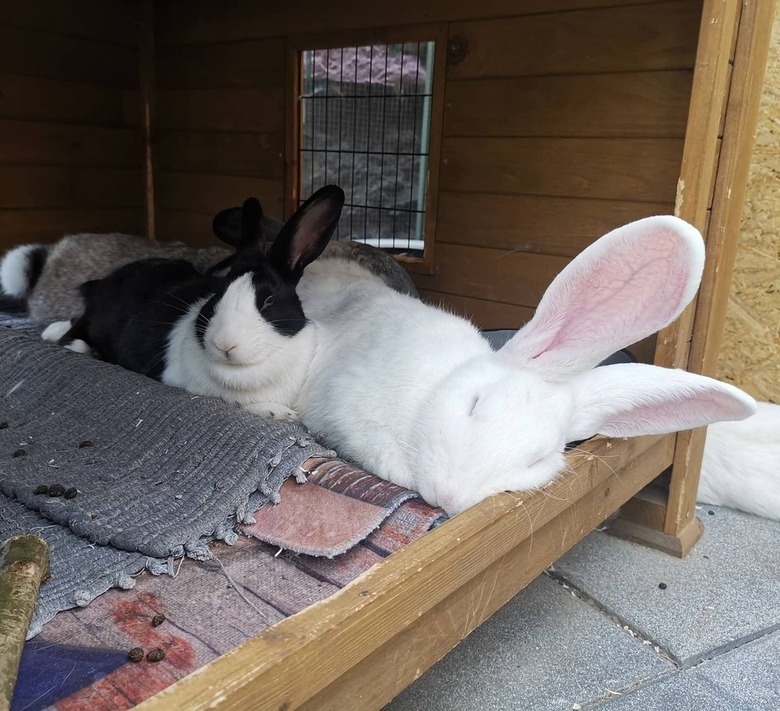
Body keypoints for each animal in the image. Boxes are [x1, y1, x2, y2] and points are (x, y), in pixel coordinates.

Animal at [45, 185, 344, 422]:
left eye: (269, 300)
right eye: (218, 294)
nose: (225, 344)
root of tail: (103, 284)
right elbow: (239, 402)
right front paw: (279, 413)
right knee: (74, 329)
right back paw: (68, 342)